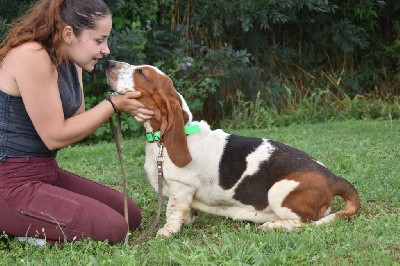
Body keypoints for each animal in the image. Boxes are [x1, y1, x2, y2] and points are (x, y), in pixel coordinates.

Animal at [104, 60, 360, 237]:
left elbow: (172, 212)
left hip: (279, 191)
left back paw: (272, 226)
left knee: (303, 223)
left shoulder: (181, 189)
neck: (161, 141)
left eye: (142, 73)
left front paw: (167, 231)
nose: (108, 63)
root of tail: (334, 178)